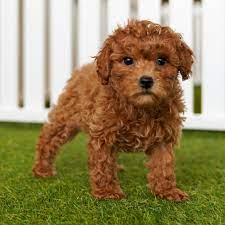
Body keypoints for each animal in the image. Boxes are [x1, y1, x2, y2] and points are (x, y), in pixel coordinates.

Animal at [32, 20, 194, 201]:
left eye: (161, 60)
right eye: (128, 60)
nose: (146, 80)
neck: (140, 107)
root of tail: (83, 68)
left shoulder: (164, 136)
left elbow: (163, 164)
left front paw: (167, 191)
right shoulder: (103, 132)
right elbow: (103, 162)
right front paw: (107, 191)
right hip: (67, 116)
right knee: (48, 138)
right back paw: (42, 169)